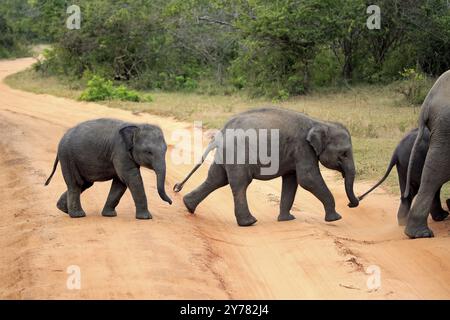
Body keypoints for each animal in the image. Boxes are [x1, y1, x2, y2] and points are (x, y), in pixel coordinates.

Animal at [44, 119, 172, 219]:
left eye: (166, 150)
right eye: (148, 152)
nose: (171, 202)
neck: (136, 125)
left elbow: (120, 182)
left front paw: (109, 215)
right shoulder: (120, 151)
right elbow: (131, 178)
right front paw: (146, 218)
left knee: (84, 183)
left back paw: (63, 209)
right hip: (68, 157)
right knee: (76, 184)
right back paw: (78, 215)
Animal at [174, 106, 360, 226]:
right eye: (344, 153)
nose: (352, 204)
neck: (320, 123)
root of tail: (220, 134)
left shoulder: (295, 152)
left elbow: (291, 181)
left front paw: (287, 220)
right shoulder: (303, 148)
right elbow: (308, 179)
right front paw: (336, 219)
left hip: (225, 155)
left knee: (216, 178)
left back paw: (188, 206)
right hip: (237, 154)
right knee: (239, 183)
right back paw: (249, 223)